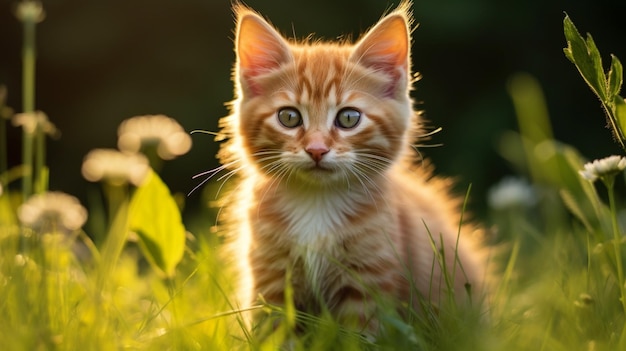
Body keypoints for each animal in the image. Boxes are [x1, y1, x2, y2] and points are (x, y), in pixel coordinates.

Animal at [217, 0, 486, 334]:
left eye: (348, 118)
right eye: (289, 117)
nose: (317, 149)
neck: (316, 204)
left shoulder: (369, 279)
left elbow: (358, 335)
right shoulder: (272, 279)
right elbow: (274, 331)